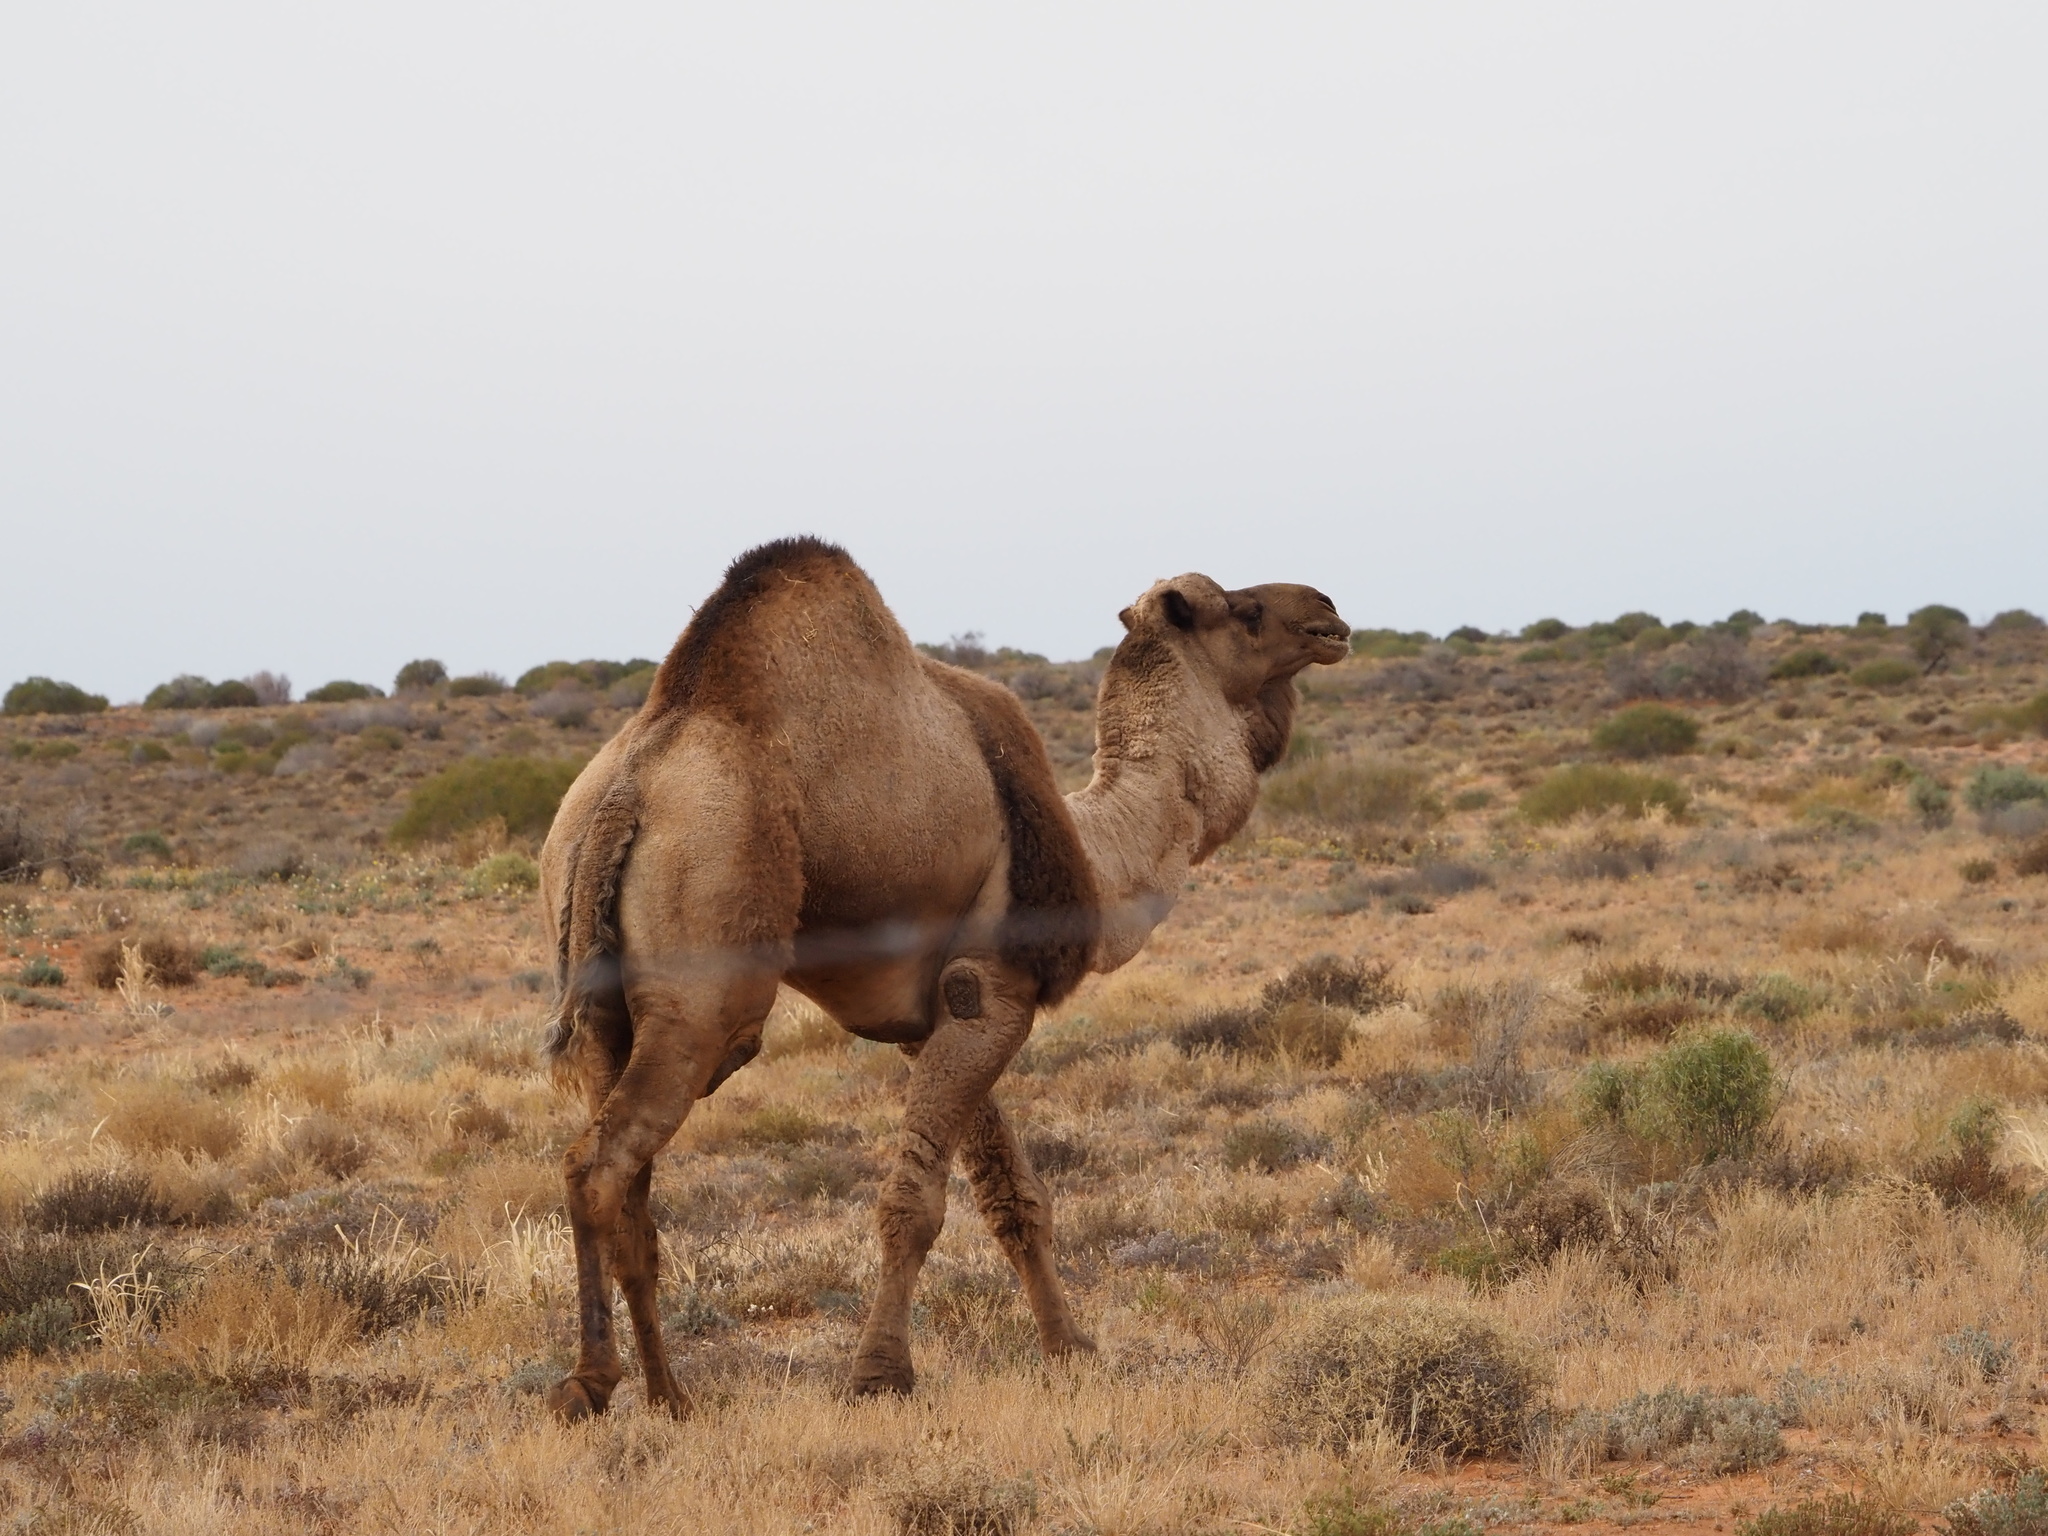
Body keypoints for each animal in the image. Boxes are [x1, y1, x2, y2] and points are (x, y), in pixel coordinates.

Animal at [536, 540, 1351, 1417]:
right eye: (1245, 611)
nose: (1329, 611)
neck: (1097, 857)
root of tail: (625, 792)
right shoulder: (992, 992)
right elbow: (915, 1203)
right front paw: (879, 1375)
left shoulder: (943, 1014)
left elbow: (1013, 1198)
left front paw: (1071, 1350)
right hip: (708, 989)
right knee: (600, 1163)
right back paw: (590, 1382)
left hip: (607, 1008)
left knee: (631, 1190)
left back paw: (670, 1396)